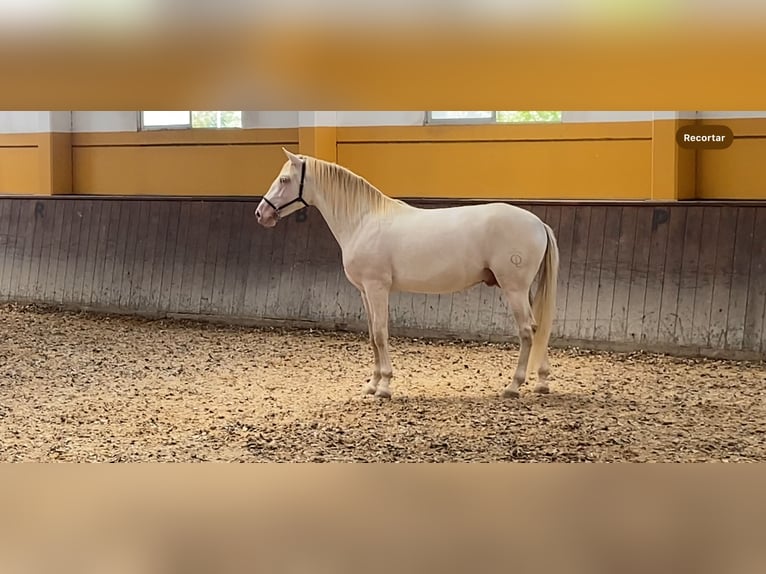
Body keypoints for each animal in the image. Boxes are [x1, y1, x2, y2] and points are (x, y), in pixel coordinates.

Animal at [255, 148, 560, 400]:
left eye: (284, 180)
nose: (261, 214)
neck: (363, 220)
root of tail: (538, 223)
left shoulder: (377, 288)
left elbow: (380, 333)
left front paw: (385, 386)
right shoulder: (364, 292)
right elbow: (371, 335)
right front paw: (372, 384)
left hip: (514, 289)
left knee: (526, 331)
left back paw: (513, 386)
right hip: (523, 290)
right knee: (538, 327)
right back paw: (541, 382)